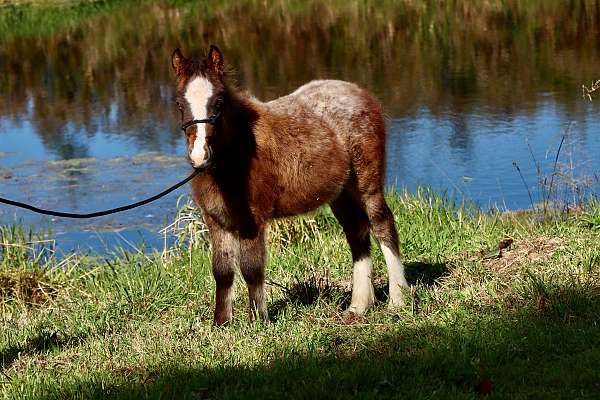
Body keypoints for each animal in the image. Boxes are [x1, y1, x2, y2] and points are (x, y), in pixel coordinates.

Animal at [171, 45, 410, 324]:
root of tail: (359, 91)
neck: (235, 155)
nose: (199, 156)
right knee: (357, 232)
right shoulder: (216, 220)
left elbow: (251, 268)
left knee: (383, 224)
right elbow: (222, 271)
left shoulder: (252, 220)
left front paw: (258, 321)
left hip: (367, 183)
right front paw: (221, 323)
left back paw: (397, 300)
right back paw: (358, 306)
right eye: (179, 104)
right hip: (340, 193)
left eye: (219, 102)